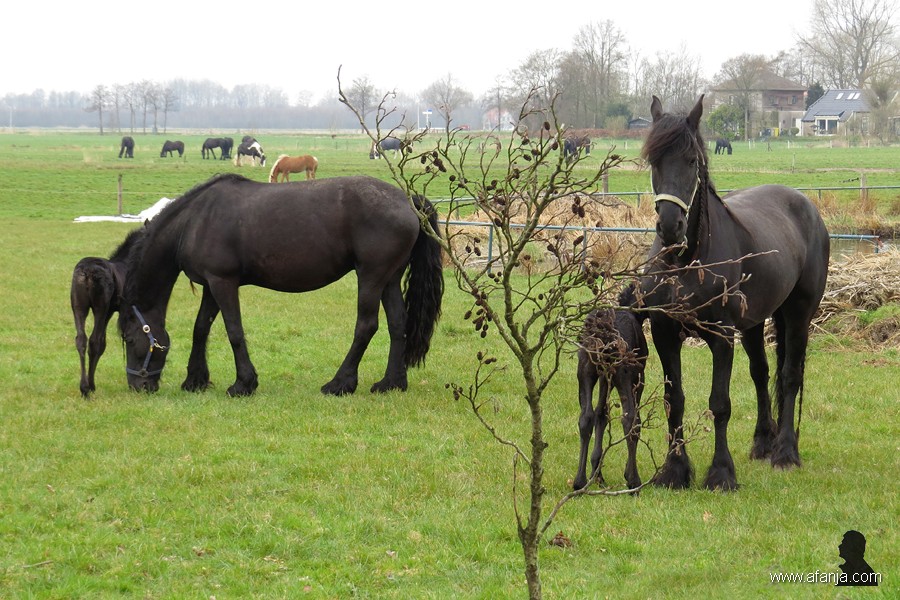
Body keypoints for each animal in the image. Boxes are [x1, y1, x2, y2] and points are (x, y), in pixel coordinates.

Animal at [71, 227, 145, 397]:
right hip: (101, 308)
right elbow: (102, 343)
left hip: (78, 307)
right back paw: (88, 387)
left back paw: (83, 386)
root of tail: (87, 272)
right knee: (94, 341)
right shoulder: (117, 310)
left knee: (81, 339)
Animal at [117, 173, 443, 397]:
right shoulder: (211, 284)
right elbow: (201, 329)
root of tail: (407, 201)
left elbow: (234, 331)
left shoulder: (223, 282)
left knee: (366, 326)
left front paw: (243, 384)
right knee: (397, 324)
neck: (194, 222)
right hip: (389, 279)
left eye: (130, 340)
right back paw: (391, 382)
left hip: (371, 277)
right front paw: (195, 380)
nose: (138, 385)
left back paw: (340, 383)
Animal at [573, 284, 648, 491]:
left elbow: (601, 413)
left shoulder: (605, 378)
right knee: (630, 419)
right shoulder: (637, 378)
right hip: (625, 374)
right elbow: (630, 419)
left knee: (586, 416)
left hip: (586, 370)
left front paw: (596, 472)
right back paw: (634, 481)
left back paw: (580, 481)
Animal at [639, 95, 829, 491]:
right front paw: (674, 470)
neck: (687, 261)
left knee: (790, 375)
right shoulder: (665, 333)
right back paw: (763, 444)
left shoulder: (722, 337)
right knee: (761, 373)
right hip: (754, 324)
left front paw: (721, 473)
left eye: (692, 160)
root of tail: (805, 206)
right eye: (654, 161)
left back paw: (785, 452)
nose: (670, 226)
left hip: (798, 314)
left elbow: (720, 403)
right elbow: (674, 398)